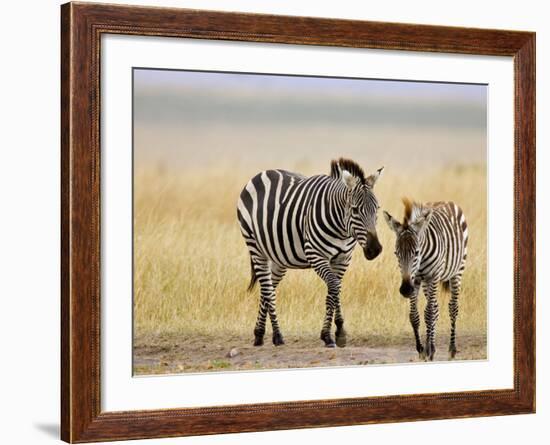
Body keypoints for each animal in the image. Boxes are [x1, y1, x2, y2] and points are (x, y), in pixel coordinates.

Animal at [237, 158, 384, 348]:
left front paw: (339, 332)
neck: (342, 230)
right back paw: (277, 335)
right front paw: (328, 335)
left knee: (266, 289)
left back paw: (259, 334)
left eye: (377, 209)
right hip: (255, 247)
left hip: (278, 257)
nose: (375, 249)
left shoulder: (343, 258)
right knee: (268, 290)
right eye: (355, 210)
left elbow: (336, 290)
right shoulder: (316, 255)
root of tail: (262, 173)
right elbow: (333, 288)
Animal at [384, 199, 470, 360]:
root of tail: (446, 201)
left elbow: (429, 313)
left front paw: (428, 349)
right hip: (426, 283)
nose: (405, 289)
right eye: (396, 253)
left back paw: (452, 349)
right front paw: (422, 349)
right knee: (435, 307)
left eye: (416, 252)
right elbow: (415, 315)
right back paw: (432, 345)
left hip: (457, 270)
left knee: (452, 308)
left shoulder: (434, 276)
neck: (421, 259)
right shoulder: (416, 279)